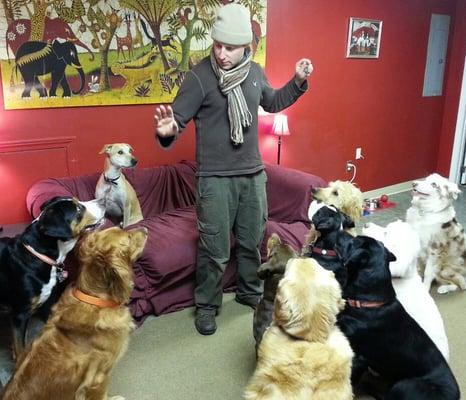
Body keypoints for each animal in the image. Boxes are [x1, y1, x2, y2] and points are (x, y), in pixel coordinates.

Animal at [334, 234, 458, 400]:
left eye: (353, 241)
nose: (338, 232)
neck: (369, 302)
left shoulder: (359, 357)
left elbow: (351, 382)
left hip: (406, 385)